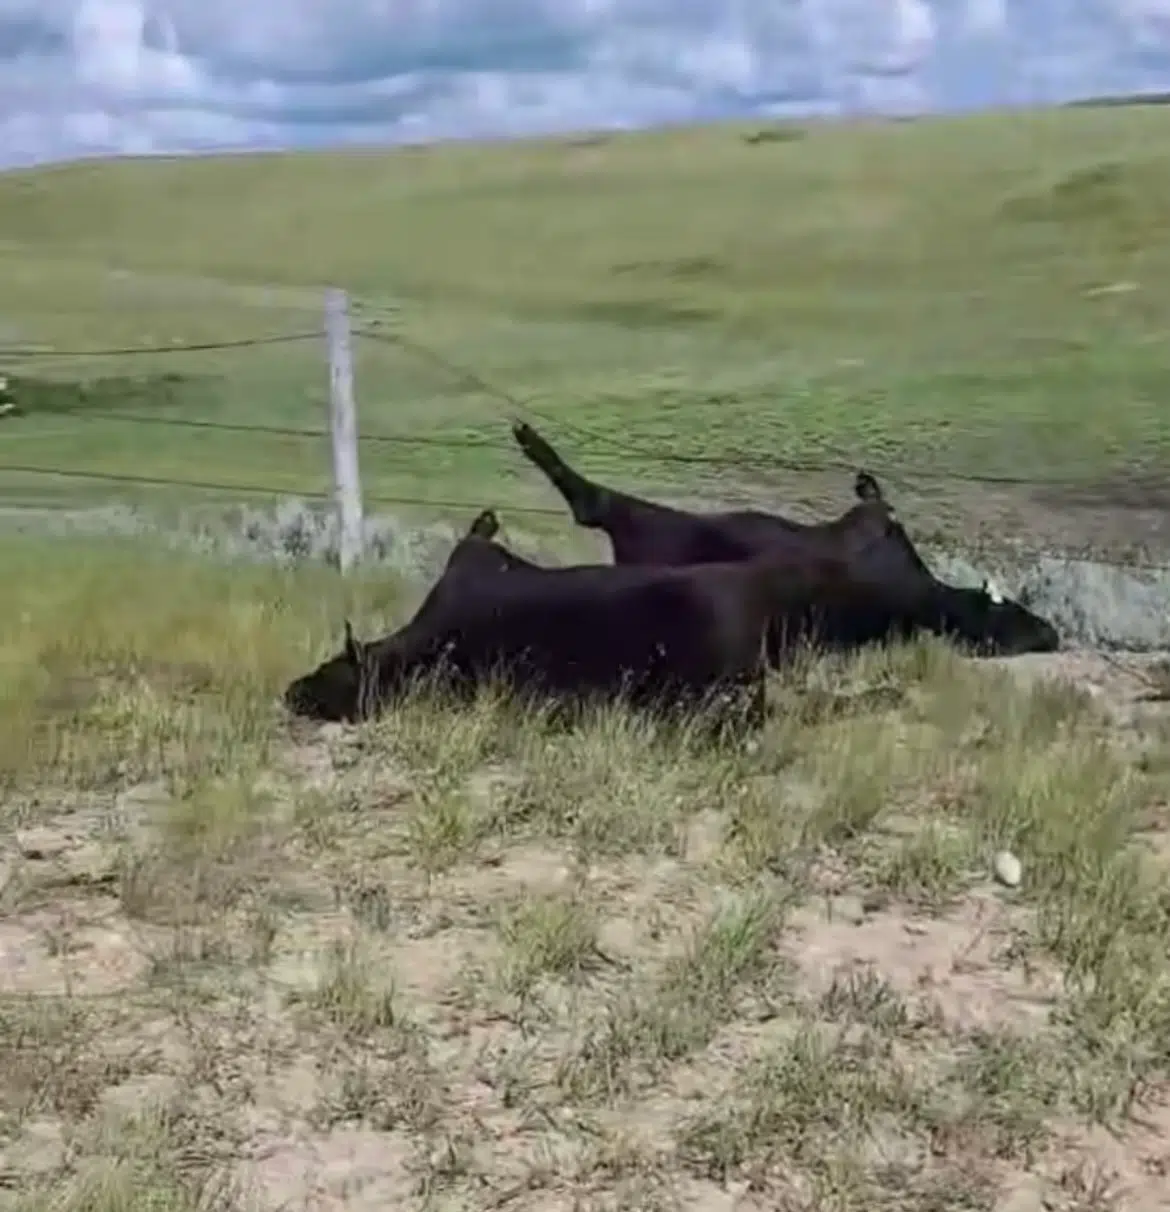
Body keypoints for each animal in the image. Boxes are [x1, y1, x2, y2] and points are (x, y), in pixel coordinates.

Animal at [511, 421, 1057, 659]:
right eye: (1017, 613)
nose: (1051, 632)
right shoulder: (871, 527)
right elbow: (875, 502)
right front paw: (868, 485)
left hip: (654, 540)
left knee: (598, 507)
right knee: (598, 505)